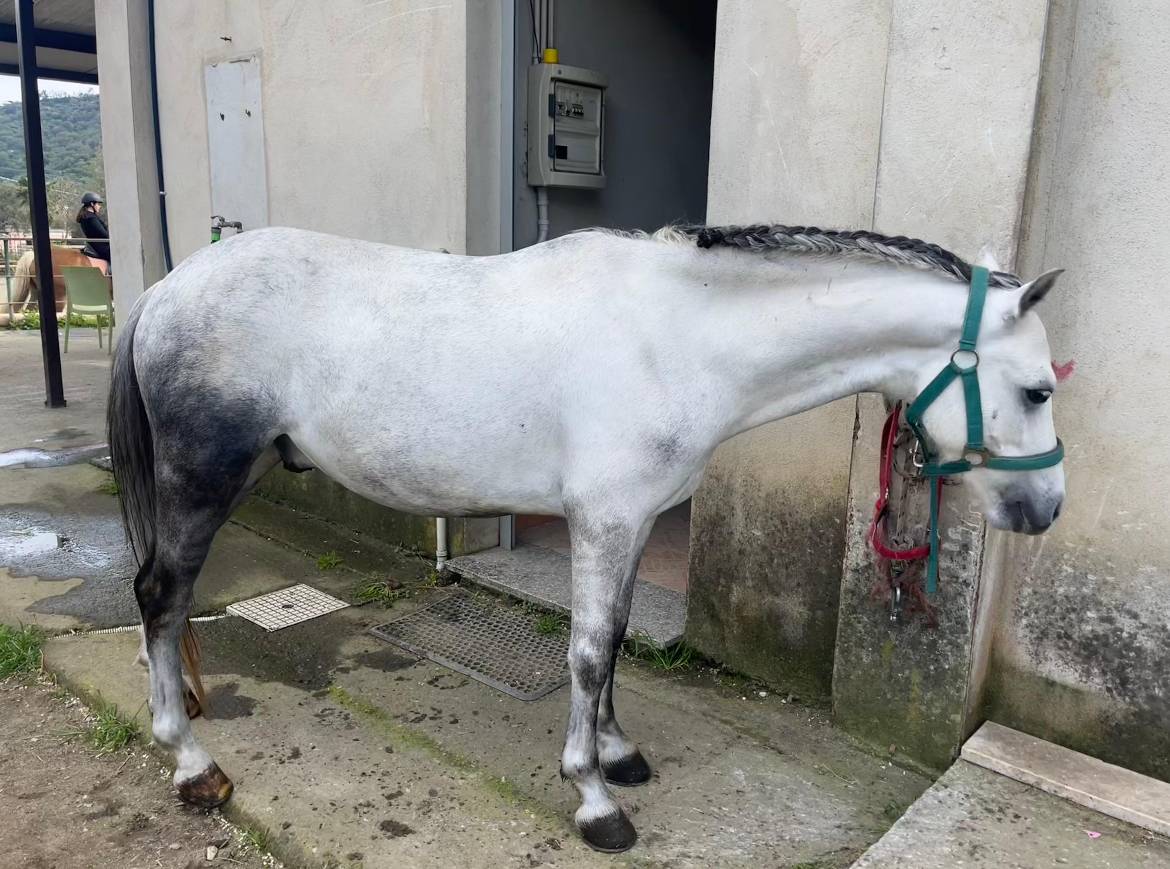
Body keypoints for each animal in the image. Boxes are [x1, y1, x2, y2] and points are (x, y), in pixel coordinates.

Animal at [107, 223, 1066, 853]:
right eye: (1038, 390)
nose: (1046, 510)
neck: (678, 336)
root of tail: (165, 289)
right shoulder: (602, 520)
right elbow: (589, 648)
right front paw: (594, 799)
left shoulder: (631, 521)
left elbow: (618, 642)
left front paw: (616, 750)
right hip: (204, 479)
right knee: (160, 593)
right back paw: (190, 760)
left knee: (169, 600)